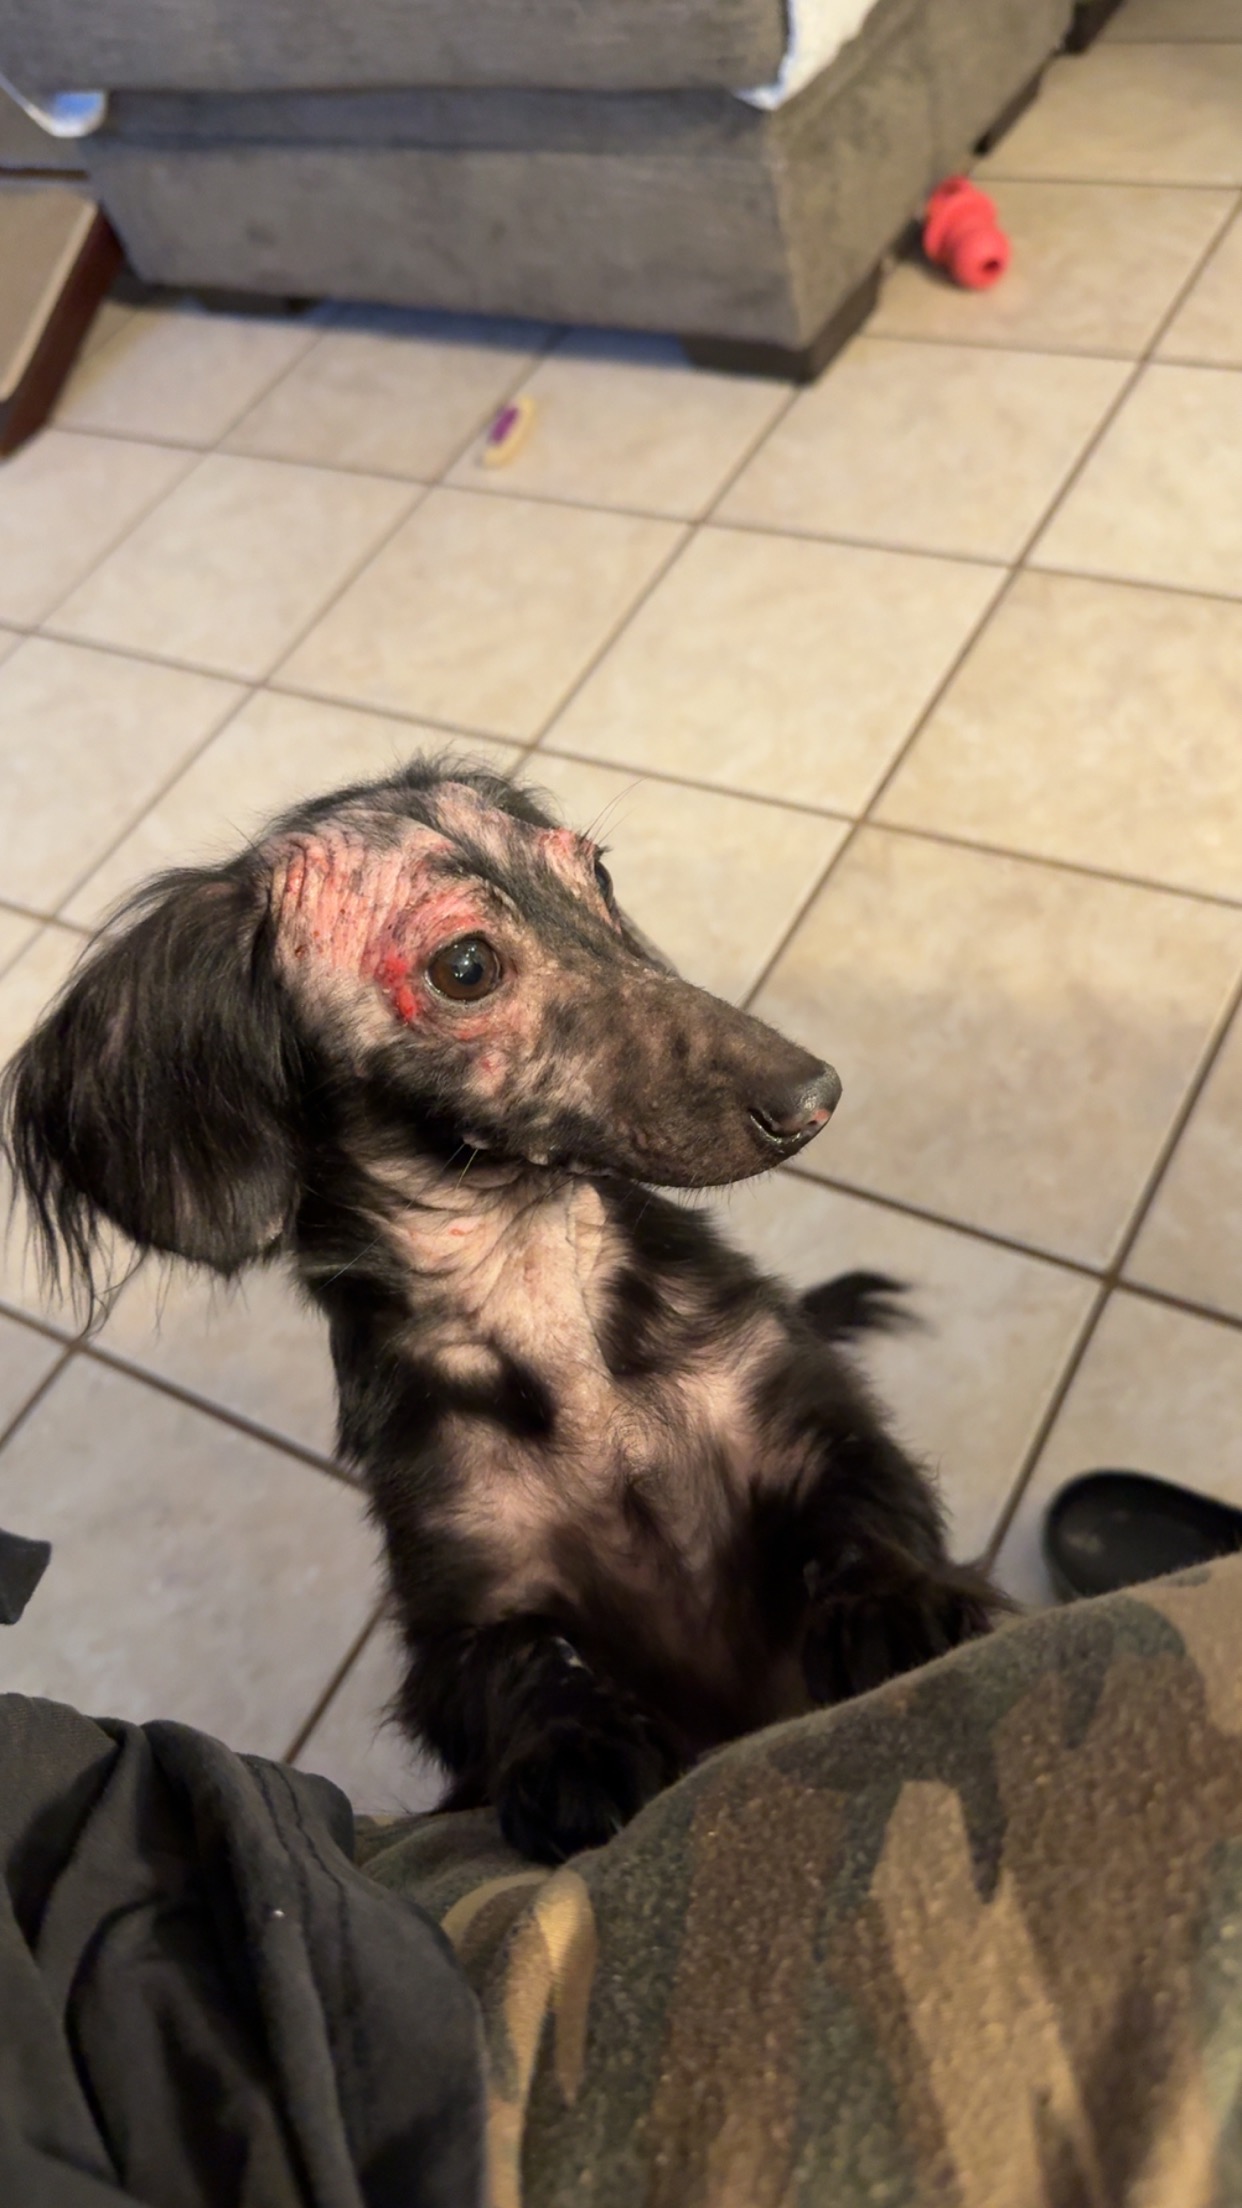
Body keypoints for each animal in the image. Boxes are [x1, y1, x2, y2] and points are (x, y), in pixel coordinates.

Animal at [3, 757, 1000, 1861]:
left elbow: (865, 1510)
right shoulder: (454, 1611)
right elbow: (513, 1663)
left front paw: (895, 1602)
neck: (550, 1311)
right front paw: (573, 1750)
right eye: (468, 967)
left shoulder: (822, 1433)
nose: (815, 1095)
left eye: (598, 876)